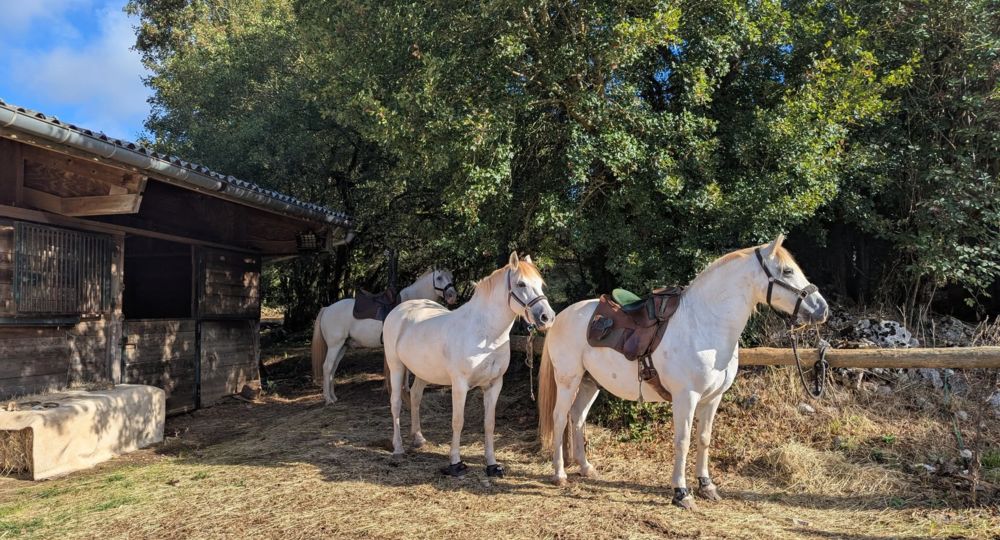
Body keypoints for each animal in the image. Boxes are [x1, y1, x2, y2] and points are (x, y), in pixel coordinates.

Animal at [311, 268, 459, 404]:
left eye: (451, 276)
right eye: (439, 278)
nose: (452, 296)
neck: (412, 306)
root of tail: (327, 309)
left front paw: (406, 388)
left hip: (343, 346)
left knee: (333, 368)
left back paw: (333, 396)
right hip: (335, 345)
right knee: (327, 367)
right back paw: (328, 399)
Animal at [383, 252, 556, 477]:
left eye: (541, 285)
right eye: (521, 284)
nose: (547, 317)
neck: (485, 335)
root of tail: (399, 310)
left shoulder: (494, 385)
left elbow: (489, 424)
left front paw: (492, 465)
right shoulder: (460, 385)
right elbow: (458, 421)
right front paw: (455, 463)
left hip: (423, 372)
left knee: (415, 396)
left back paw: (418, 438)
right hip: (396, 367)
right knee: (395, 403)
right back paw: (398, 448)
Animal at [537, 235, 828, 509]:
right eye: (787, 271)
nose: (822, 309)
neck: (704, 325)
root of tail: (560, 316)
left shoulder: (713, 398)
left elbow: (704, 438)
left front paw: (706, 485)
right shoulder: (686, 397)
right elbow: (683, 441)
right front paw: (681, 492)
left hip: (590, 382)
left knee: (577, 417)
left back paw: (586, 468)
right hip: (568, 381)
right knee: (560, 418)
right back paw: (560, 474)